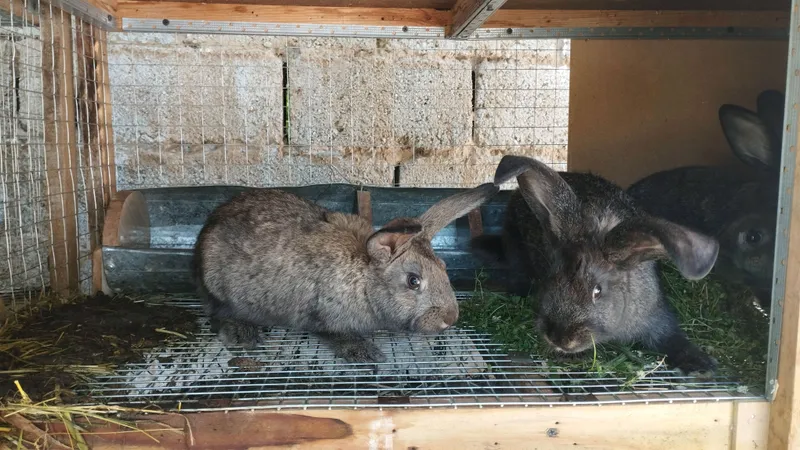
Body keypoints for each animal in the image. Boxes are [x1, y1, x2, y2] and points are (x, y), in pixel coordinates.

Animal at [193, 182, 499, 364]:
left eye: (444, 267)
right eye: (414, 281)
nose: (450, 319)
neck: (364, 278)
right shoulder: (322, 315)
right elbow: (335, 334)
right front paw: (366, 353)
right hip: (221, 289)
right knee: (217, 313)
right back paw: (242, 335)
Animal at [471, 155, 720, 375]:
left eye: (597, 291)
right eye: (551, 279)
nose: (560, 338)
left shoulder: (657, 319)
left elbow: (672, 339)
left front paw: (702, 367)